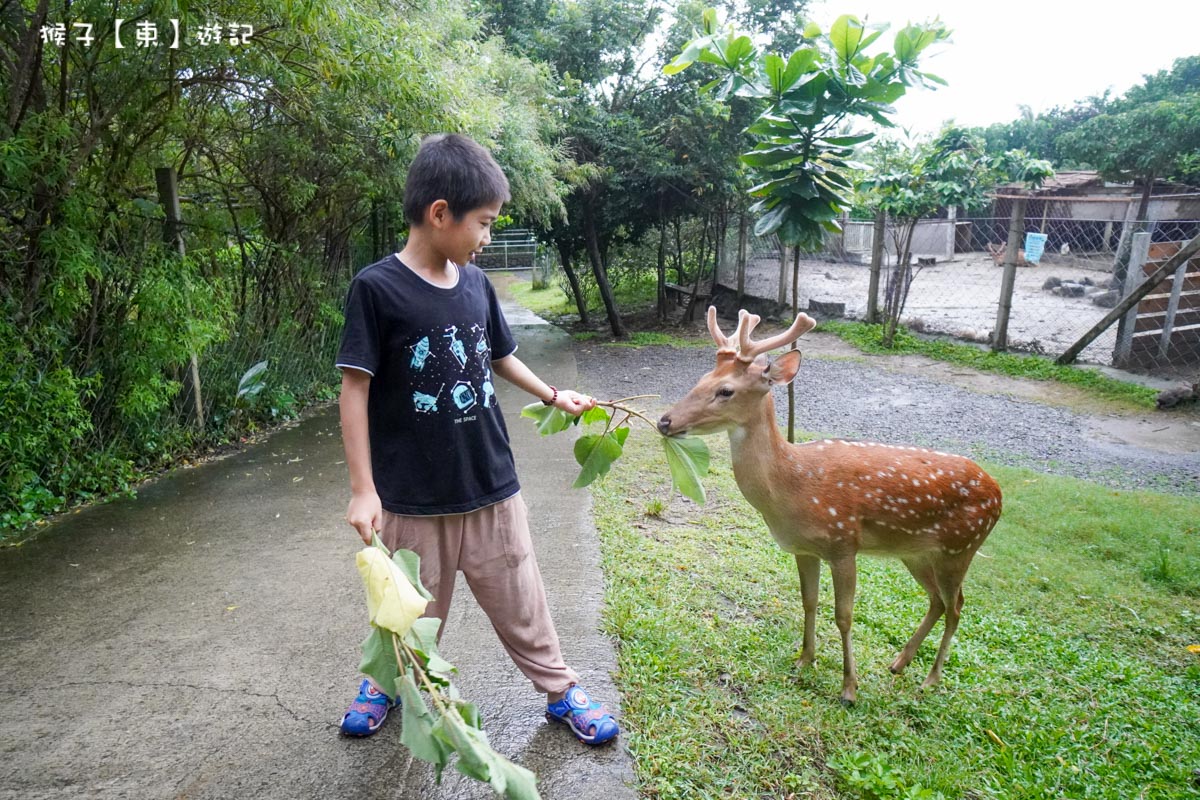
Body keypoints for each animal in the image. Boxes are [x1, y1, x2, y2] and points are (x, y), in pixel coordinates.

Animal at [657, 309, 1003, 705]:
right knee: (938, 601)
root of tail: (998, 493)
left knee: (957, 605)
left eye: (726, 390)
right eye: (702, 379)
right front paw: (804, 660)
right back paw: (899, 663)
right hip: (915, 551)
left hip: (960, 547)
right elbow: (808, 602)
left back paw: (930, 679)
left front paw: (849, 687)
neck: (793, 488)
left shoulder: (843, 544)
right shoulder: (804, 549)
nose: (665, 421)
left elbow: (844, 615)